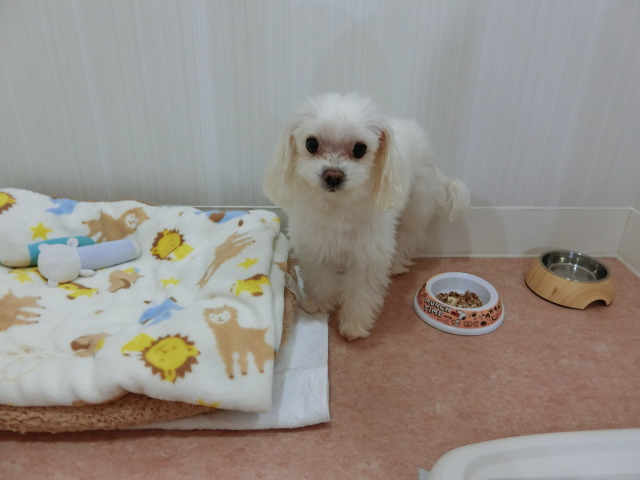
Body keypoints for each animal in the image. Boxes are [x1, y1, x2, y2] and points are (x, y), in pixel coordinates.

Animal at [263, 93, 469, 340]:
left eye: (360, 149)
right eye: (311, 144)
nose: (333, 175)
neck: (337, 207)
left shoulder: (368, 256)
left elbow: (359, 293)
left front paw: (353, 325)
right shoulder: (316, 247)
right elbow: (321, 280)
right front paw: (319, 305)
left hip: (415, 208)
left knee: (407, 237)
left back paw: (397, 264)